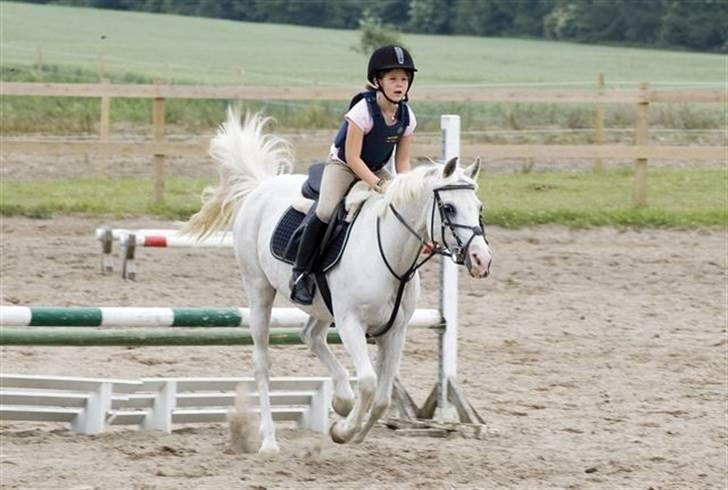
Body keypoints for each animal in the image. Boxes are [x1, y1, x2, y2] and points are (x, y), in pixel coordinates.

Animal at [182, 109, 492, 454]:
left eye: (479, 207)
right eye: (449, 208)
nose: (481, 259)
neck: (391, 251)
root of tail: (261, 186)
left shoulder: (394, 331)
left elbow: (383, 399)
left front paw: (353, 429)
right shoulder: (350, 322)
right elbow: (369, 383)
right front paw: (342, 431)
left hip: (322, 306)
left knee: (311, 335)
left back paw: (342, 398)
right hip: (259, 289)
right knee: (263, 364)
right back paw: (269, 441)